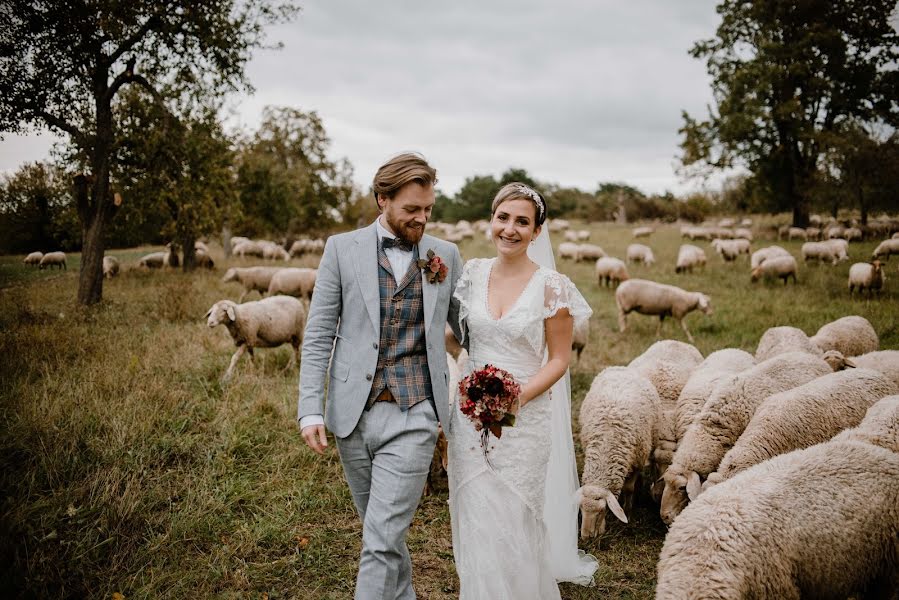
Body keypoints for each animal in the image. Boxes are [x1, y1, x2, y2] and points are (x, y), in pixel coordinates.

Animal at [576, 366, 660, 540]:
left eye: (601, 511)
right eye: (580, 509)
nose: (586, 538)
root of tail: (623, 368)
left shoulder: (636, 462)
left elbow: (629, 489)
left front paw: (628, 510)